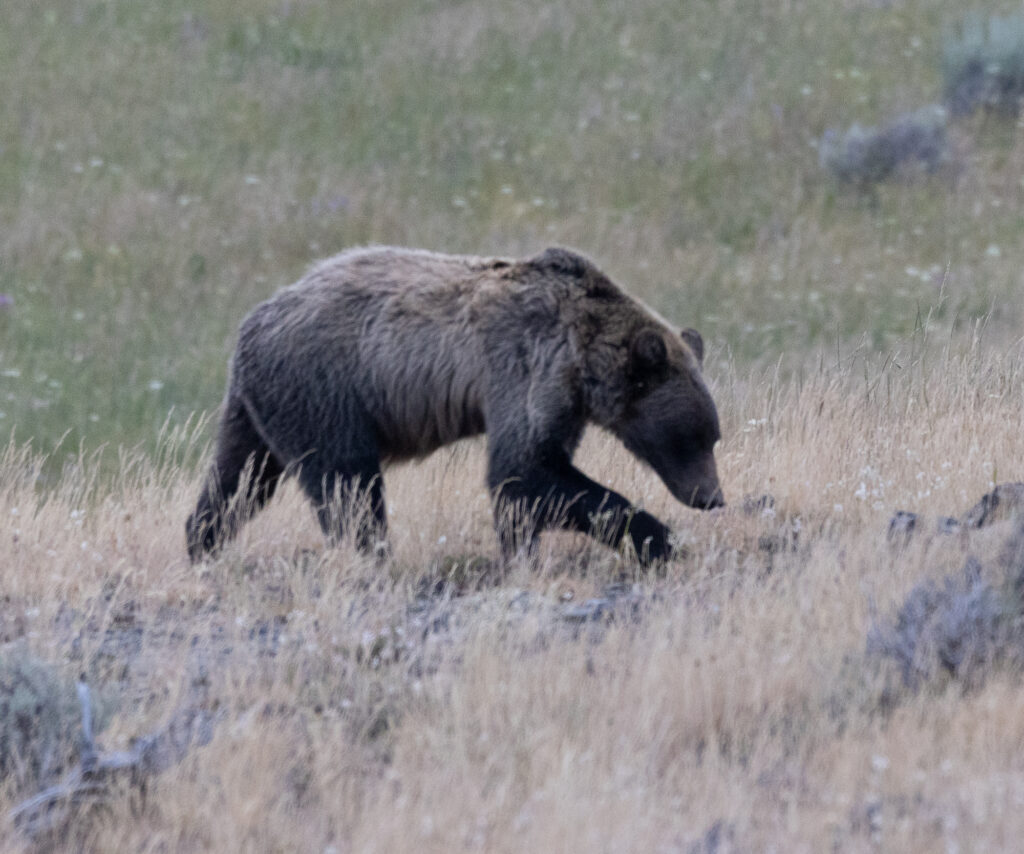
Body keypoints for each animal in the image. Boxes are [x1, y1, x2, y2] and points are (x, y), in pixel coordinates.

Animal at [186, 245, 729, 561]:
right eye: (690, 436)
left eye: (712, 435)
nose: (712, 497)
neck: (582, 352)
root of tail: (251, 325)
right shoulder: (526, 368)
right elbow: (524, 472)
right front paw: (657, 538)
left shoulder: (562, 401)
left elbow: (531, 478)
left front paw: (520, 549)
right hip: (324, 389)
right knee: (348, 485)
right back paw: (372, 554)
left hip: (258, 406)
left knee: (239, 479)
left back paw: (201, 544)